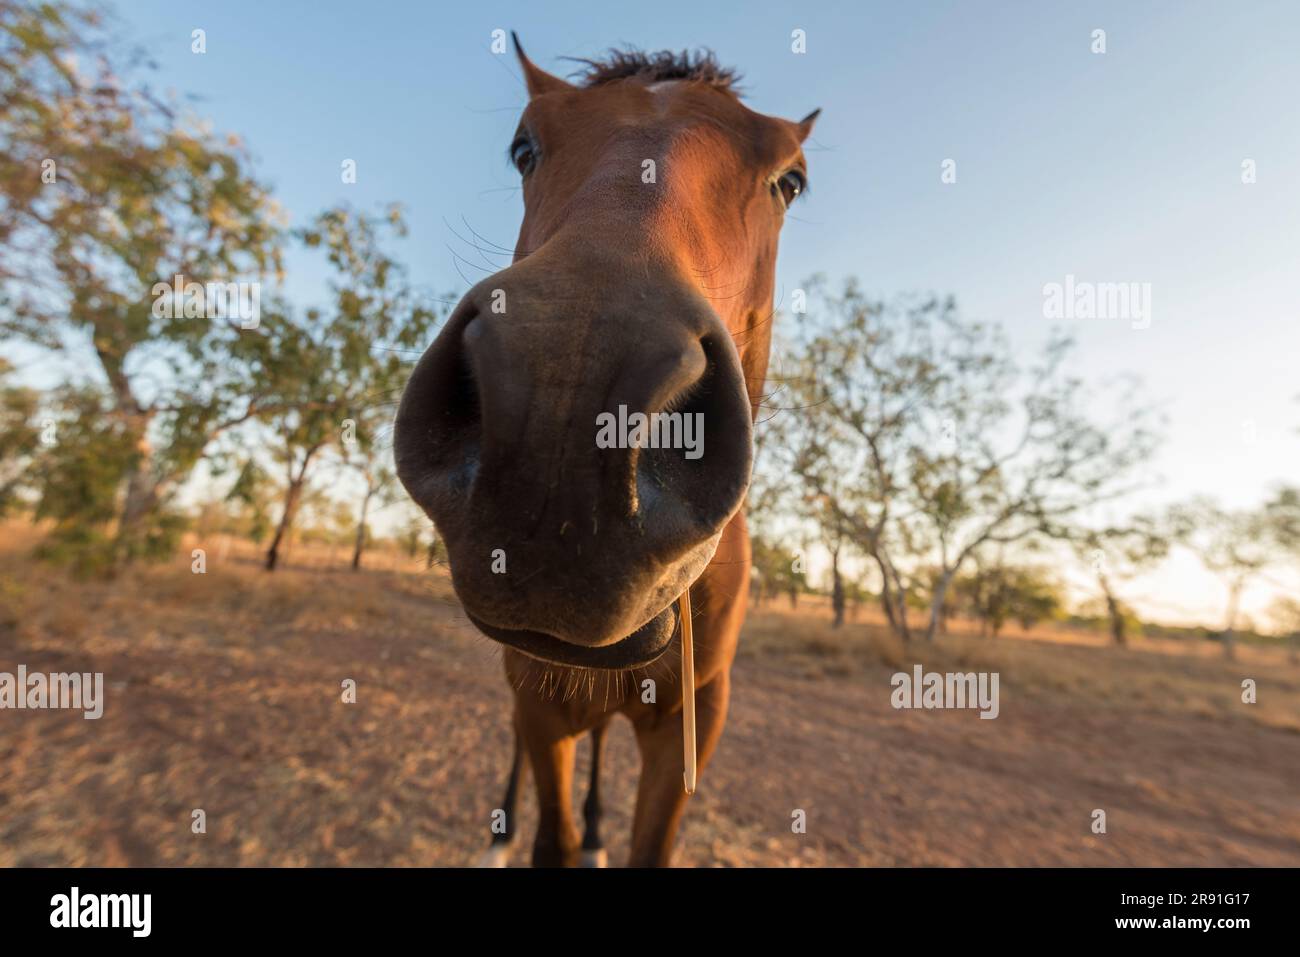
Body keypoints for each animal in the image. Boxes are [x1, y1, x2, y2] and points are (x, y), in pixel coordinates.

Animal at [394, 35, 817, 867]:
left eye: (790, 181)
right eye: (523, 148)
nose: (562, 414)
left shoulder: (693, 721)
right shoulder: (538, 695)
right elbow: (549, 836)